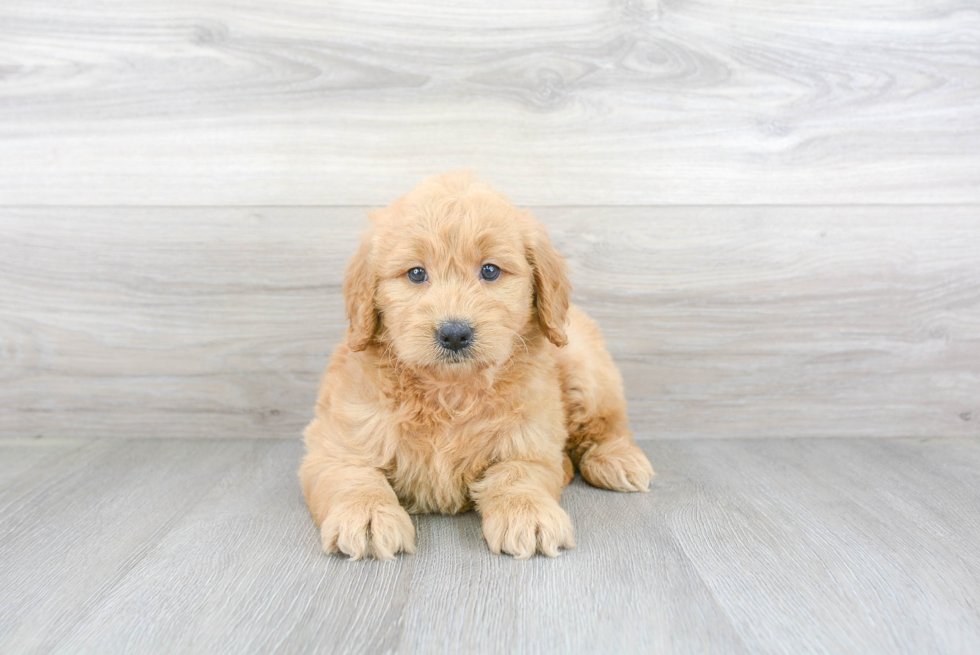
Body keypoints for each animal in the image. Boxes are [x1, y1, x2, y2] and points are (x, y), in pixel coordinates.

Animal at [296, 172, 652, 560]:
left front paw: (528, 513)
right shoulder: (337, 440)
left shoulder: (530, 441)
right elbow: (352, 475)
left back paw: (617, 460)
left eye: (490, 271)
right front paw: (367, 516)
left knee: (606, 423)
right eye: (416, 273)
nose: (454, 333)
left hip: (586, 369)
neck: (451, 390)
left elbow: (517, 474)